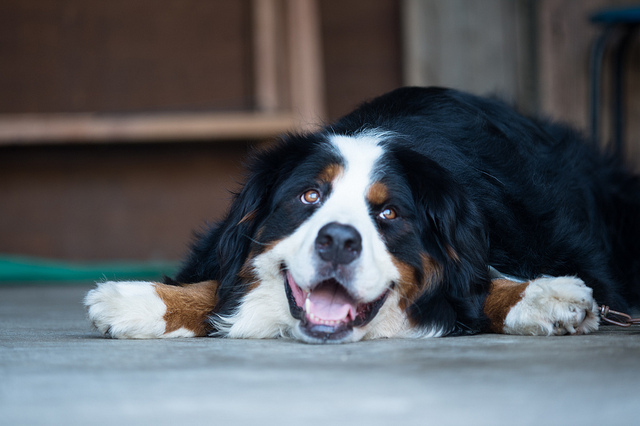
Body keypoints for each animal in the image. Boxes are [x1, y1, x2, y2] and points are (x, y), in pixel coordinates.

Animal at [85, 85, 640, 342]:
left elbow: (479, 286)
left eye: (390, 213)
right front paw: (137, 301)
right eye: (310, 197)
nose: (337, 241)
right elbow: (215, 285)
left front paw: (543, 297)